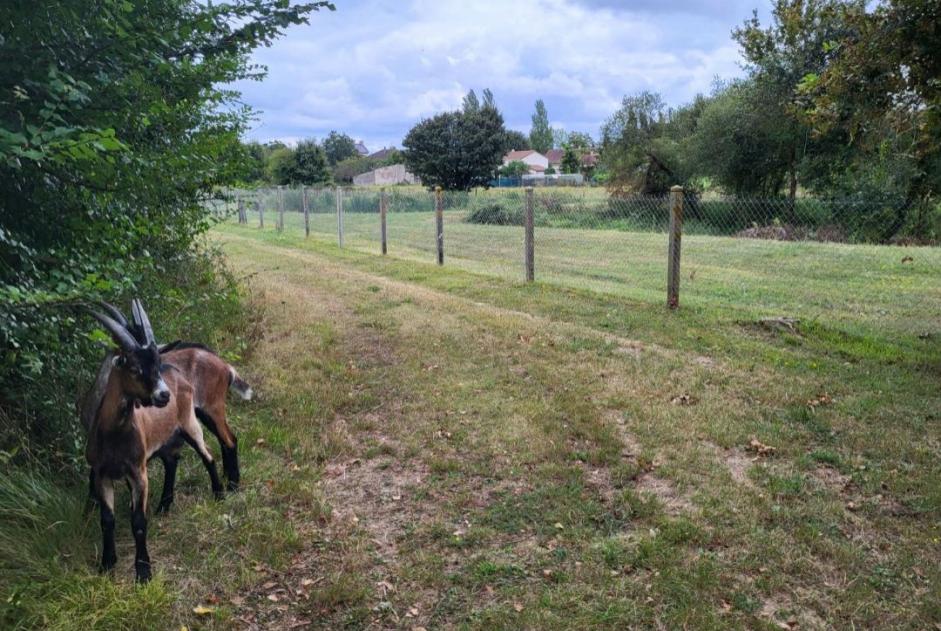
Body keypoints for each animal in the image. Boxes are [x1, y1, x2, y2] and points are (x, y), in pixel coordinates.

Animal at [86, 302, 222, 584]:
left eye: (157, 364)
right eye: (135, 368)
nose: (163, 395)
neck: (113, 434)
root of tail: (179, 376)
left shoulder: (138, 472)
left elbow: (138, 522)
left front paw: (143, 571)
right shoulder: (101, 473)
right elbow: (107, 519)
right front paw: (107, 563)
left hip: (189, 423)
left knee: (207, 455)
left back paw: (219, 492)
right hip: (166, 440)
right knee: (172, 462)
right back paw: (164, 506)